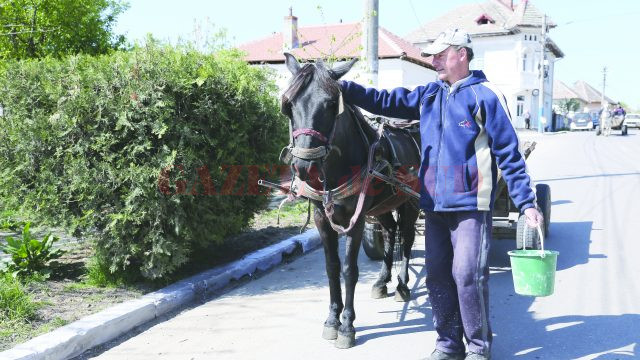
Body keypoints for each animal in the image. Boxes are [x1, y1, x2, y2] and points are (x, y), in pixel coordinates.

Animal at [282, 54, 422, 348]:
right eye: (289, 106)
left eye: (330, 104)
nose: (304, 166)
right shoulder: (323, 220)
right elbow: (332, 267)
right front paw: (332, 319)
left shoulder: (354, 222)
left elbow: (349, 269)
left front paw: (347, 325)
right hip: (382, 206)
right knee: (390, 232)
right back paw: (382, 280)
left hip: (410, 202)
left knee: (406, 238)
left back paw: (402, 285)